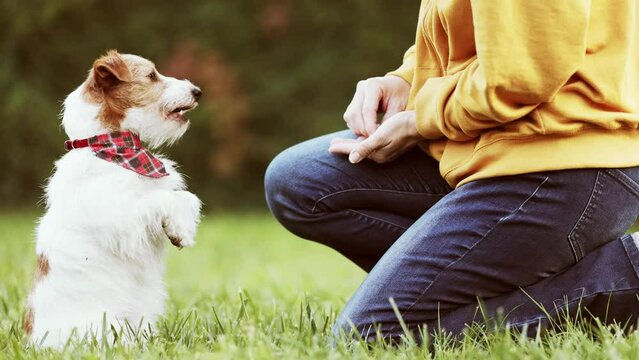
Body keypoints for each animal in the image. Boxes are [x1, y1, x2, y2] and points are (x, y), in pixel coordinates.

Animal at [24, 50, 202, 346]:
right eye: (151, 75)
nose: (197, 91)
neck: (112, 146)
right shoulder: (122, 219)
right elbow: (162, 199)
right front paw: (179, 228)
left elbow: (185, 197)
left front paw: (182, 230)